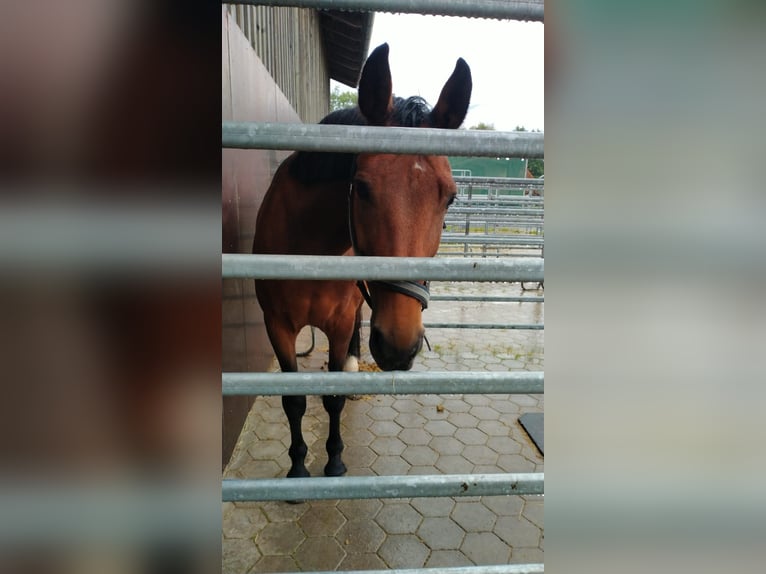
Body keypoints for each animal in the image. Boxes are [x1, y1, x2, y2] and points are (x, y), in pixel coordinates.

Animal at [255, 42, 472, 480]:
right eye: (363, 188)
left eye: (451, 197)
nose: (399, 348)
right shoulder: (277, 326)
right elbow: (293, 400)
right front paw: (298, 466)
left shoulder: (339, 324)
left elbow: (333, 397)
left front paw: (335, 461)